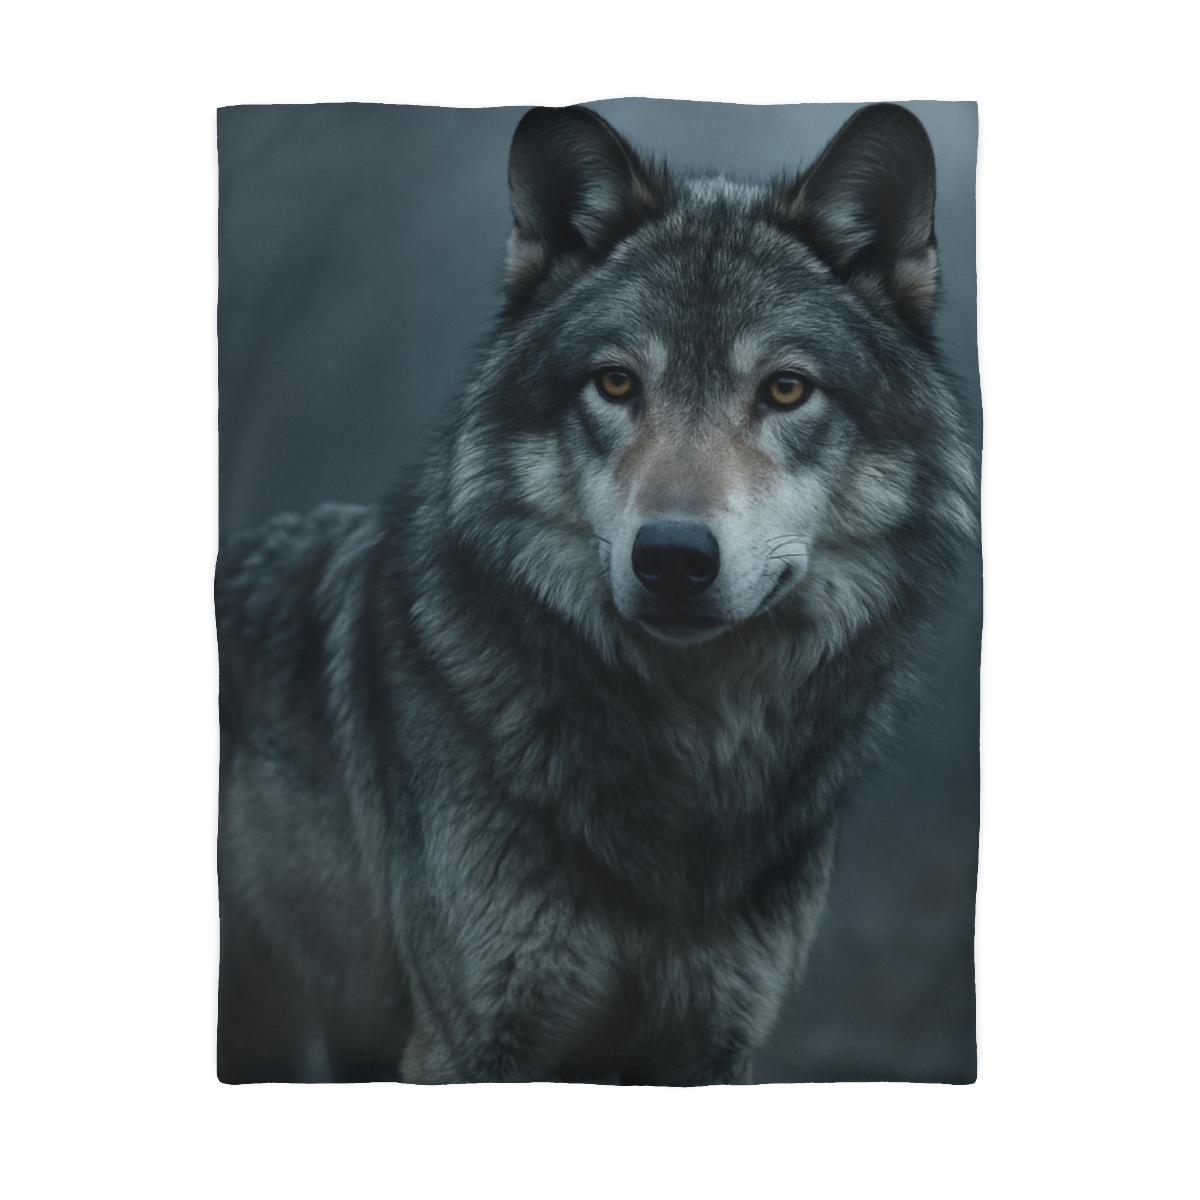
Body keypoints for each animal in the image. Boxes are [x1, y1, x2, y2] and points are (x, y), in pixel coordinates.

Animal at [216, 103, 978, 1084]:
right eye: (616, 382)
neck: (690, 763)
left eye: (785, 389)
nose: (674, 558)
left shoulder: (712, 1048)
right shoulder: (468, 1044)